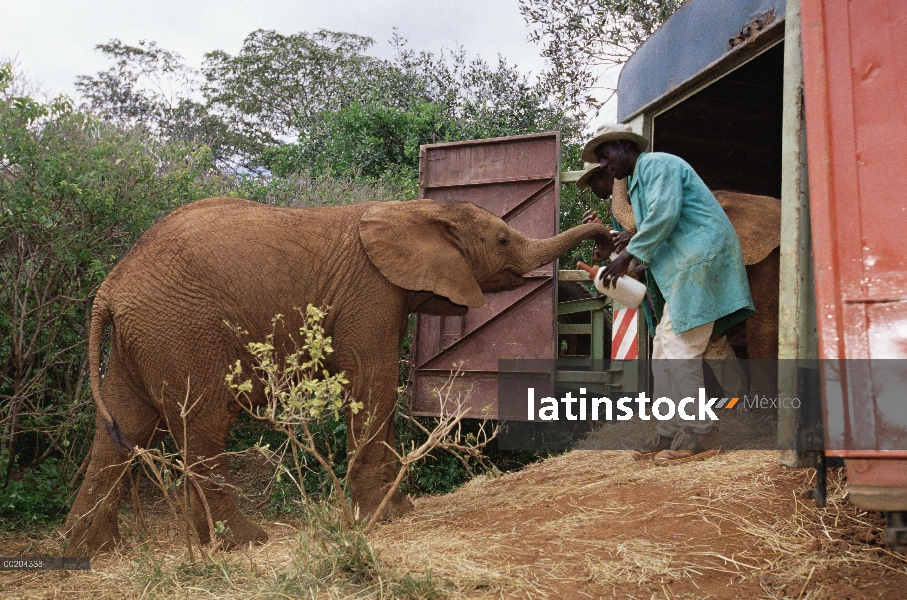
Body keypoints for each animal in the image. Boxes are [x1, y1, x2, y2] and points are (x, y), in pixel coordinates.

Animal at [67, 197, 612, 552]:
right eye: (501, 238)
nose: (602, 231)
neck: (415, 209)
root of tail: (110, 286)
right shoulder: (371, 293)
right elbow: (373, 382)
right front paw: (383, 517)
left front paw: (399, 511)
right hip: (181, 331)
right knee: (203, 424)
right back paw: (243, 542)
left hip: (141, 338)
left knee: (122, 426)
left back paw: (91, 551)